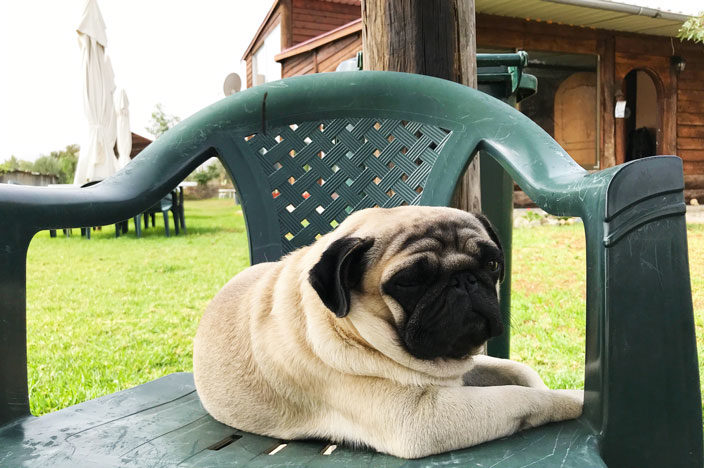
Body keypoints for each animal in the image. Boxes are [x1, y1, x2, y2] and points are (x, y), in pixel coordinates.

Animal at [192, 207, 584, 458]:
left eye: (492, 265)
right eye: (409, 282)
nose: (464, 280)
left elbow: (520, 373)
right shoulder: (422, 420)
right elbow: (523, 397)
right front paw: (577, 399)